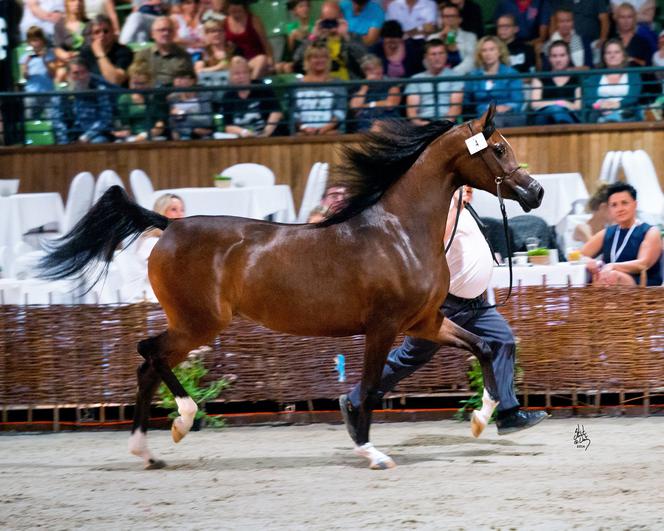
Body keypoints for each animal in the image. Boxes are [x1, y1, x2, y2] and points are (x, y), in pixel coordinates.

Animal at [39, 104, 544, 470]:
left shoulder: (425, 322)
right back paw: (181, 420)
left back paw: (149, 450)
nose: (535, 192)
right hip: (198, 322)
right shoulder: (382, 328)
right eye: (498, 149)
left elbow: (483, 346)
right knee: (149, 354)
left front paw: (481, 418)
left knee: (147, 363)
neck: (400, 231)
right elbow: (369, 388)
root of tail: (168, 224)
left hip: (194, 323)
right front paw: (371, 452)